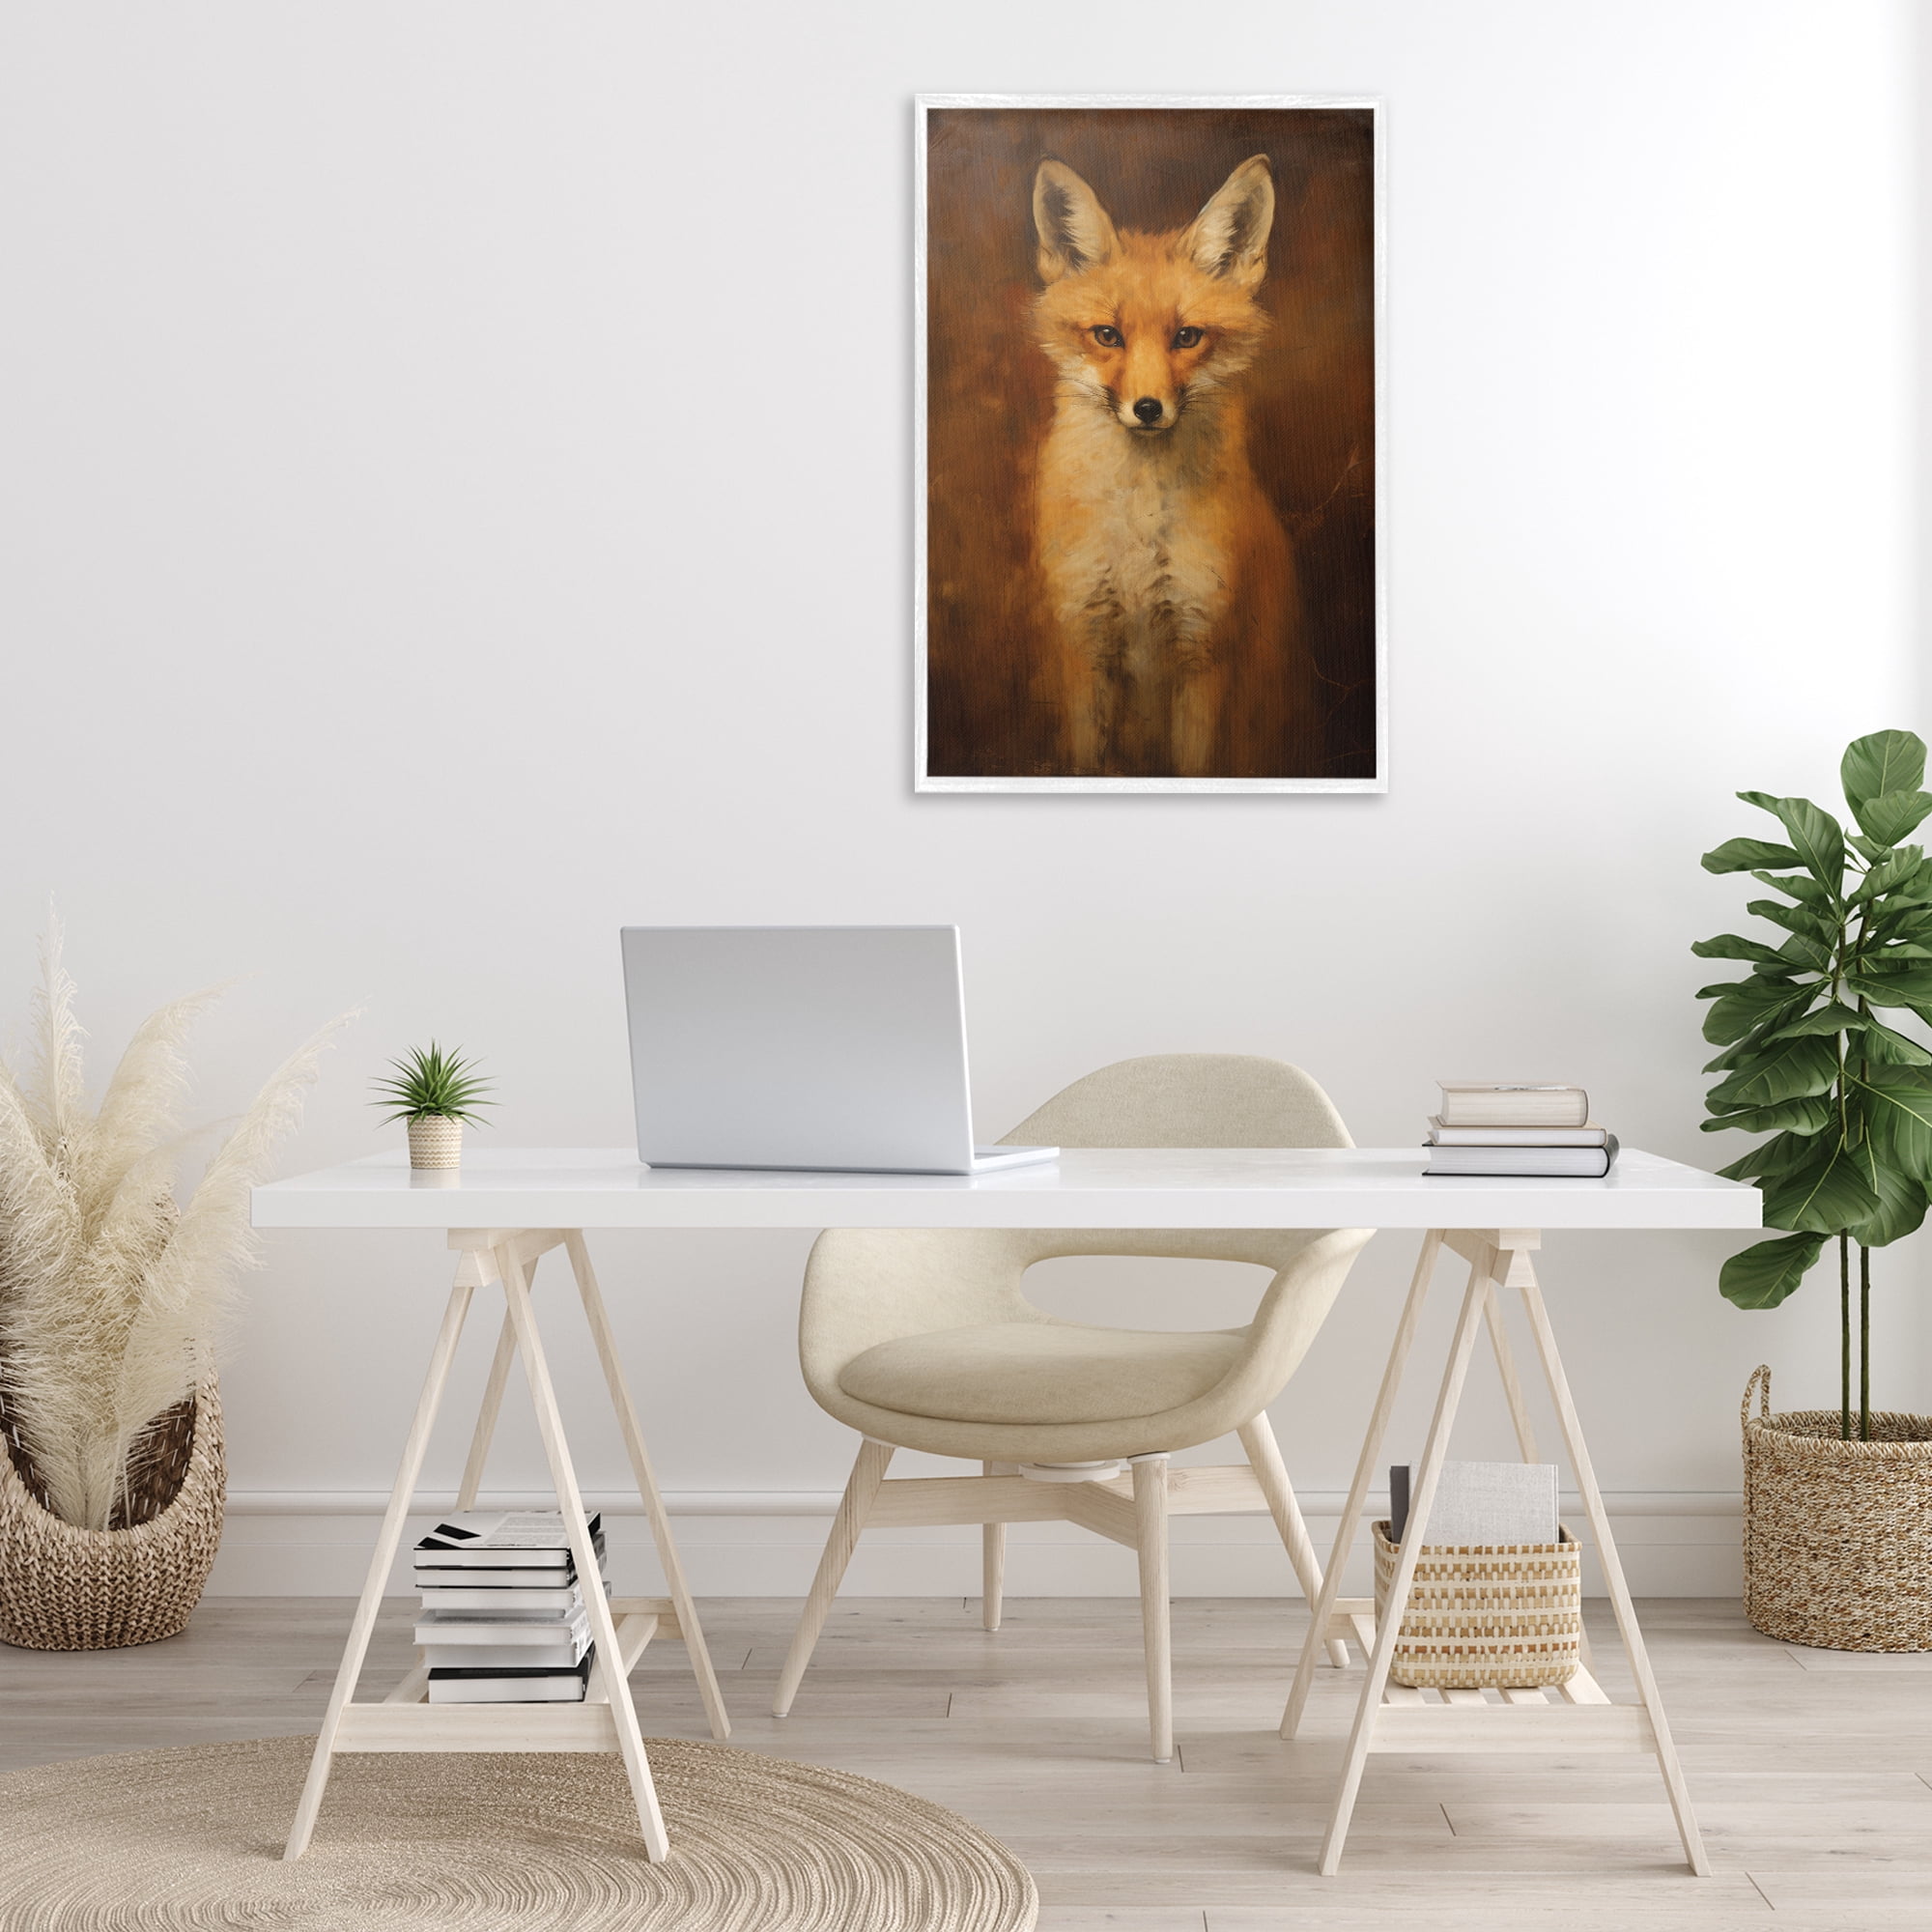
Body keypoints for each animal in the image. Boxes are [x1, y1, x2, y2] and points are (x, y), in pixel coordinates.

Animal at [1029, 154, 1305, 777]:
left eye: (1187, 336)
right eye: (1108, 335)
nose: (1149, 409)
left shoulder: (1203, 649)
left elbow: (1195, 764)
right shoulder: (1084, 640)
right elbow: (1087, 762)